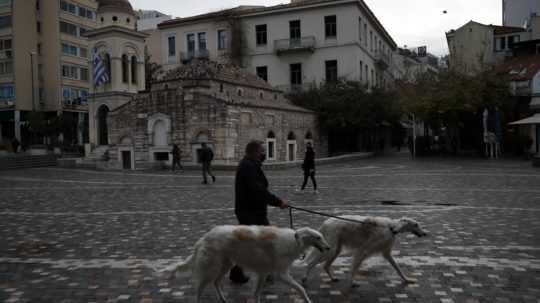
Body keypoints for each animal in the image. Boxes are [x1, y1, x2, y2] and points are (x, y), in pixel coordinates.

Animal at [160, 226, 330, 303]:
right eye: (318, 237)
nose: (328, 248)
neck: (295, 240)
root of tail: (205, 237)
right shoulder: (280, 274)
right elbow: (301, 288)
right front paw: (308, 300)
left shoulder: (263, 273)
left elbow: (256, 293)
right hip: (212, 267)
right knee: (199, 287)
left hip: (226, 265)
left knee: (216, 283)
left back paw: (223, 299)